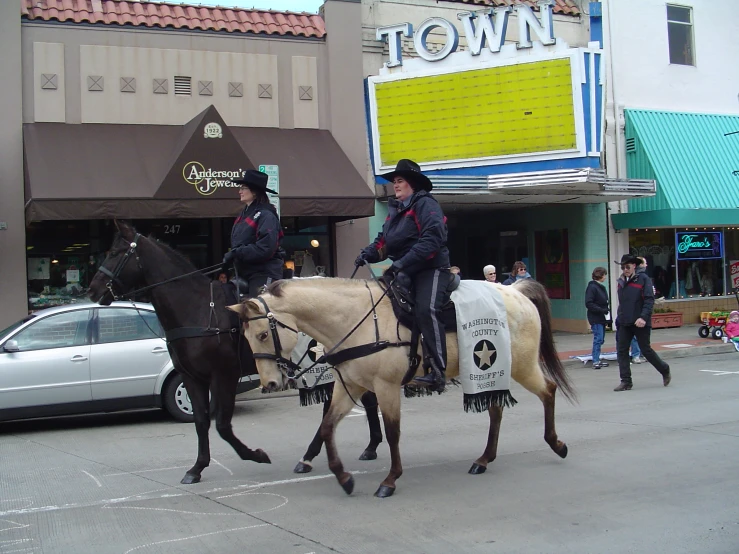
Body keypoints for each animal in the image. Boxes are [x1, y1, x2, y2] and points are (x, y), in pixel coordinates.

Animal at [89, 220, 384, 484]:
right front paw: (197, 468)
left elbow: (222, 424)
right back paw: (357, 448)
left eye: (114, 252)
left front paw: (256, 455)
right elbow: (201, 421)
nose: (93, 290)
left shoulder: (224, 376)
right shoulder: (191, 377)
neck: (199, 309)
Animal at [231, 276, 580, 496]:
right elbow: (328, 426)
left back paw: (557, 444)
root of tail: (515, 289)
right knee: (496, 409)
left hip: (521, 366)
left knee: (548, 391)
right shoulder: (349, 386)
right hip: (494, 373)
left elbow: (392, 432)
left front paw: (390, 479)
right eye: (245, 338)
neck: (356, 319)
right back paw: (483, 460)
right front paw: (343, 478)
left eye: (262, 334)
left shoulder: (386, 387)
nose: (270, 383)